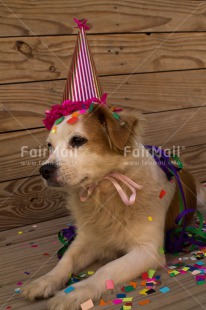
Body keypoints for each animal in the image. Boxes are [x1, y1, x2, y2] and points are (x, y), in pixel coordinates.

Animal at [21, 105, 205, 308]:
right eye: (50, 146)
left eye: (78, 140)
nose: (44, 171)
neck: (105, 194)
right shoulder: (86, 239)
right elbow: (66, 261)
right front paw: (44, 281)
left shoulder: (149, 250)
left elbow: (107, 269)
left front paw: (73, 292)